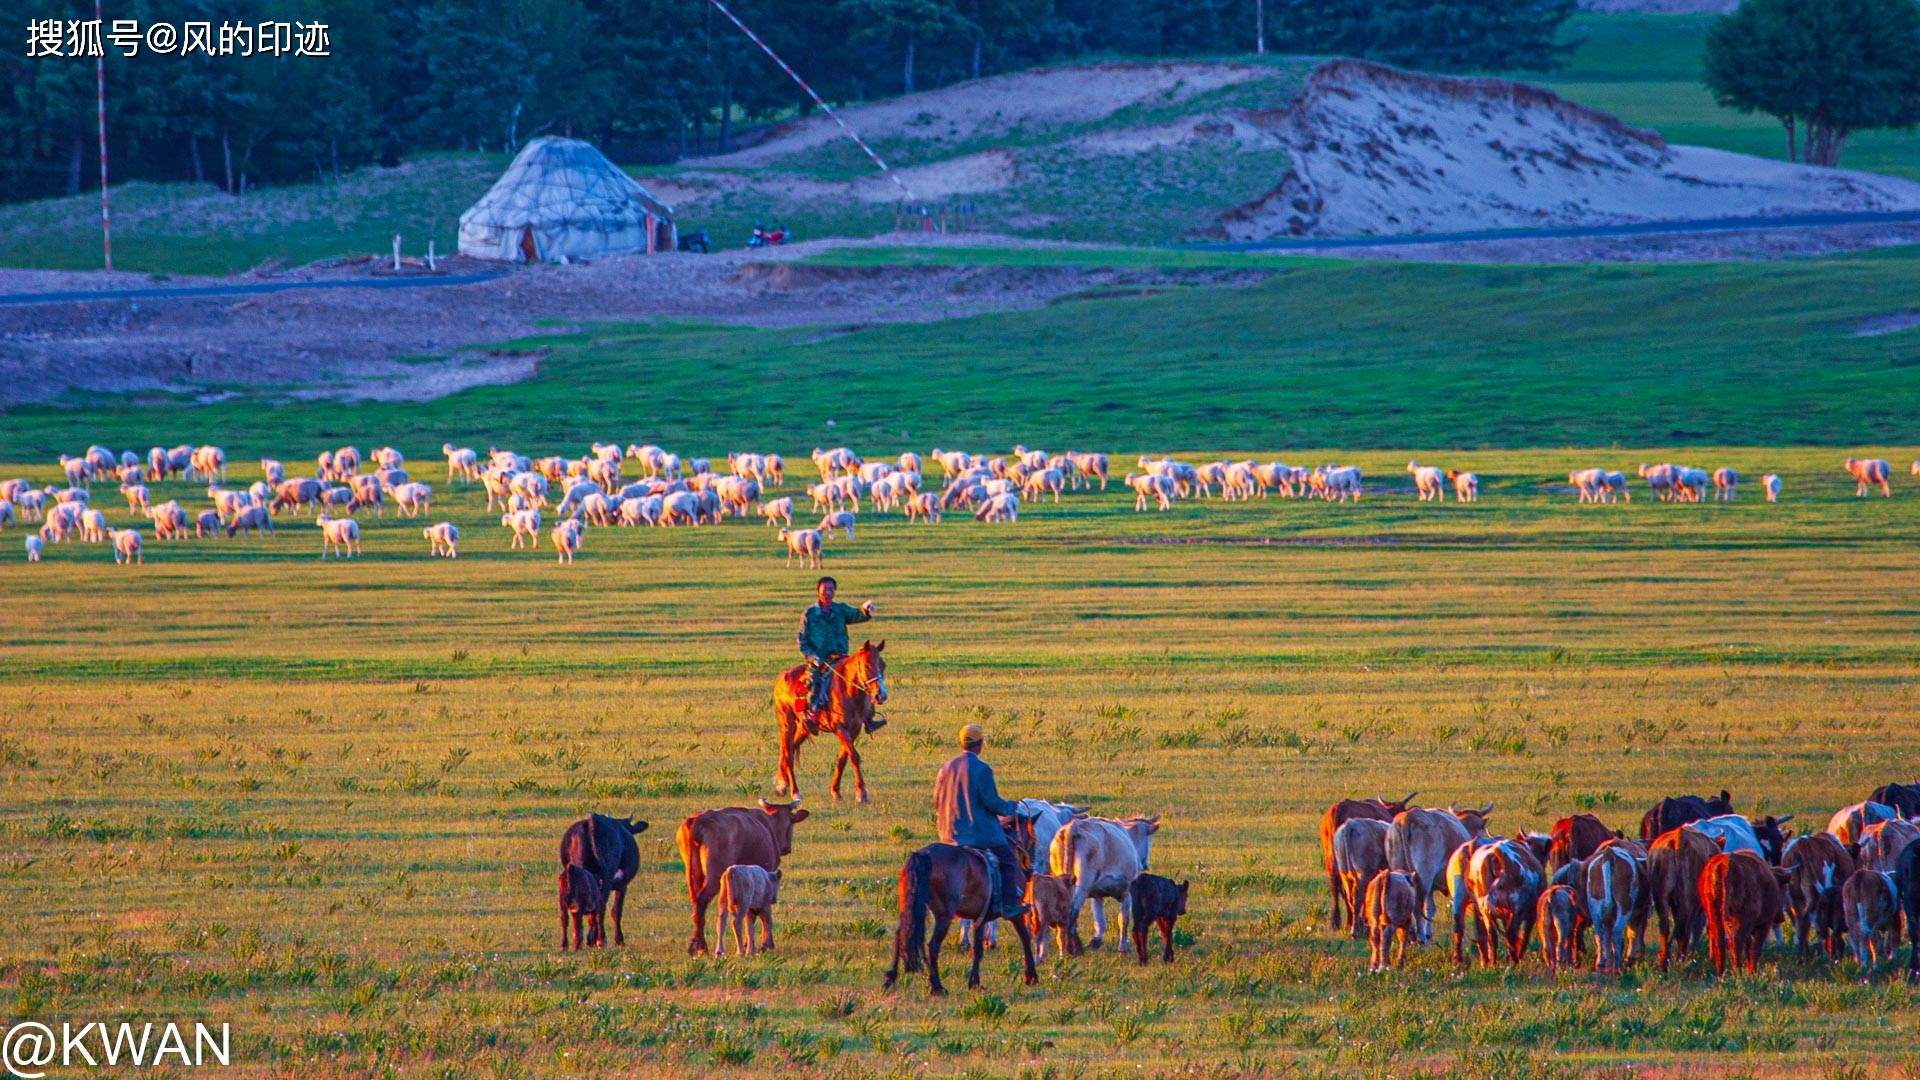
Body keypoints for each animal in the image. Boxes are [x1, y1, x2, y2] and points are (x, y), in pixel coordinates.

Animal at [675, 791, 810, 949]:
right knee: (702, 900)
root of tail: (700, 819)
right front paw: (763, 943)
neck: (768, 825)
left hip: (692, 875)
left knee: (695, 902)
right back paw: (701, 946)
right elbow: (760, 913)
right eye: (791, 824)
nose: (786, 847)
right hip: (714, 877)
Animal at [771, 638, 883, 799]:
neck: (847, 691)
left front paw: (835, 791)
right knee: (787, 754)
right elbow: (854, 756)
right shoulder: (839, 728)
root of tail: (782, 676)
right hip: (787, 723)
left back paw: (782, 785)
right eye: (867, 666)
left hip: (804, 728)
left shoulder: (854, 729)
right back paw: (795, 791)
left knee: (791, 749)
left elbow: (843, 758)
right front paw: (862, 793)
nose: (881, 695)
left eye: (883, 665)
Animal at [879, 810, 1036, 991]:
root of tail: (923, 855)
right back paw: (937, 987)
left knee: (901, 934)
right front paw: (1031, 976)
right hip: (944, 915)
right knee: (932, 945)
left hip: (911, 907)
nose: (1030, 870)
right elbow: (1025, 937)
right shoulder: (1015, 913)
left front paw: (974, 982)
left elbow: (978, 949)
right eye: (1033, 839)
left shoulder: (980, 917)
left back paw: (891, 978)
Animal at [1643, 818, 1720, 960]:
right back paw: (1681, 957)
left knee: (1666, 925)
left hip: (1661, 898)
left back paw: (1664, 958)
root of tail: (1677, 840)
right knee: (1684, 924)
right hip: (1687, 898)